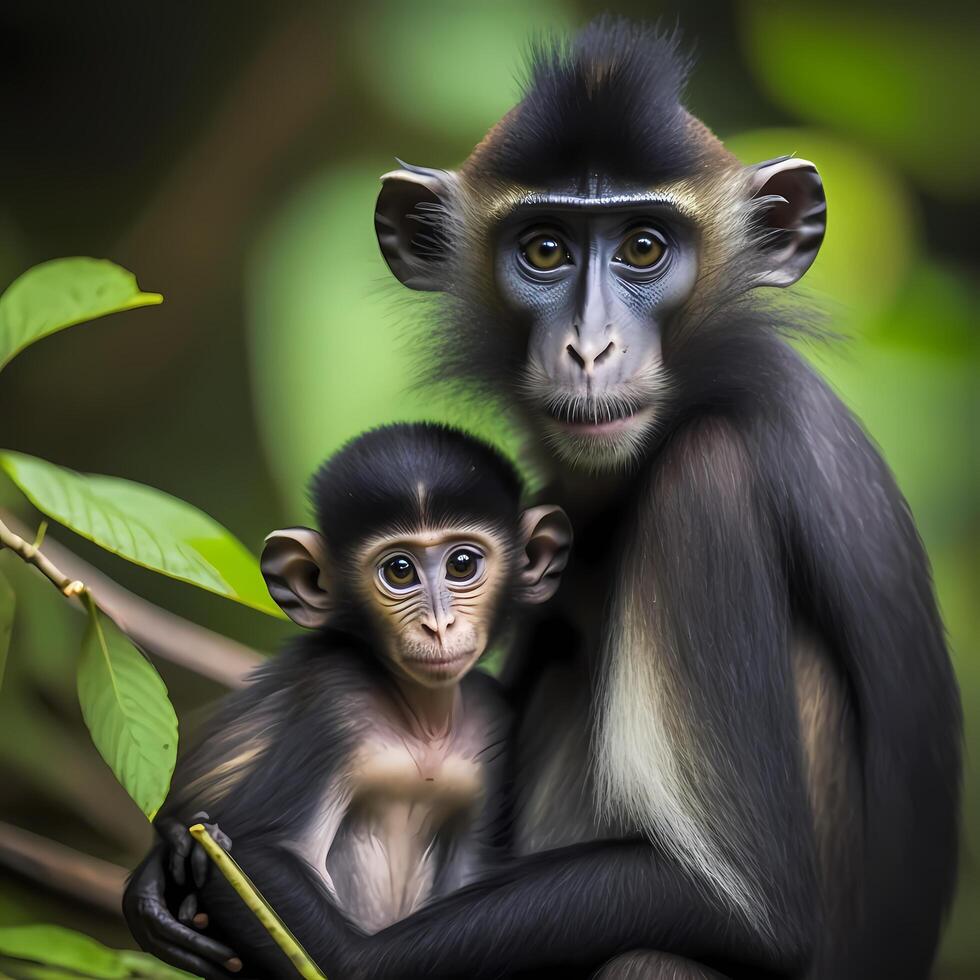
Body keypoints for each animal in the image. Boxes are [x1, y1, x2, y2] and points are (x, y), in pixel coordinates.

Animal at [136, 424, 568, 976]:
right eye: (400, 570)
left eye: (462, 564)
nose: (439, 626)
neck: (422, 721)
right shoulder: (337, 700)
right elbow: (261, 852)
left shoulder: (491, 717)